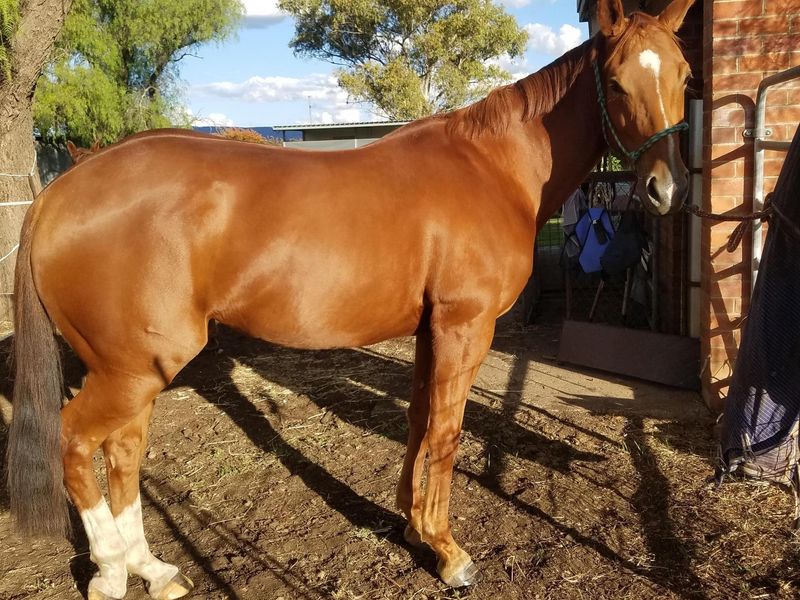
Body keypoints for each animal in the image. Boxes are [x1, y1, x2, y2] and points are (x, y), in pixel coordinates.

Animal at [6, 0, 694, 597]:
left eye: (684, 74)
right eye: (615, 83)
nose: (666, 190)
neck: (489, 168)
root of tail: (59, 193)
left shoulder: (429, 331)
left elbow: (418, 422)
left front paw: (411, 526)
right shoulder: (464, 328)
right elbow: (447, 432)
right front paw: (449, 552)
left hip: (132, 371)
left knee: (122, 453)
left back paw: (153, 570)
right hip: (130, 370)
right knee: (75, 443)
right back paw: (111, 573)